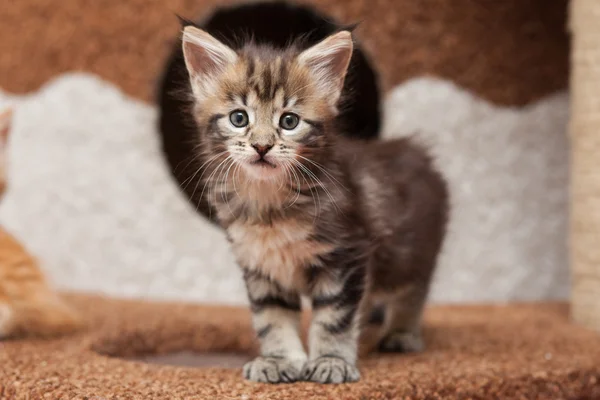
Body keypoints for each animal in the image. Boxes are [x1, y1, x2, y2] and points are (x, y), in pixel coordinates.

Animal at [180, 26, 448, 382]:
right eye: (239, 118)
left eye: (289, 122)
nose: (261, 146)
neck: (270, 202)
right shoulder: (261, 265)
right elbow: (273, 318)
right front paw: (279, 360)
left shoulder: (346, 255)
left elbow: (334, 319)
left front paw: (332, 361)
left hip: (413, 253)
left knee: (413, 292)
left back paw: (401, 334)